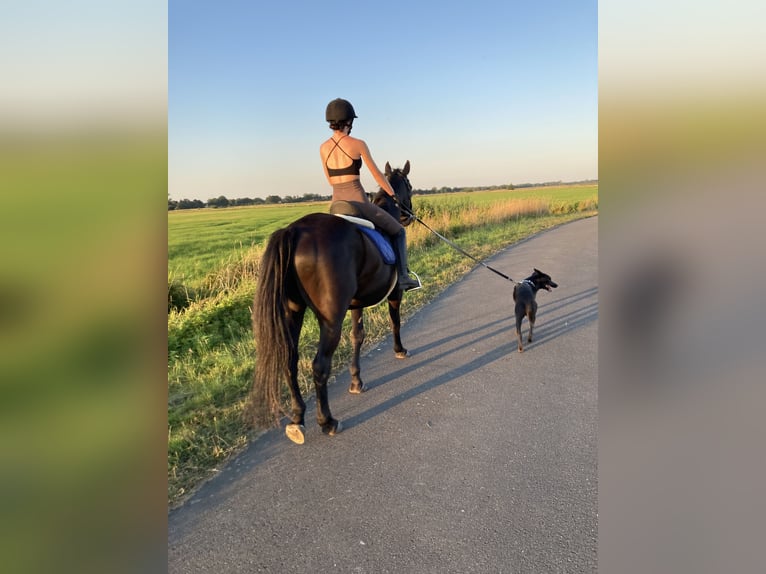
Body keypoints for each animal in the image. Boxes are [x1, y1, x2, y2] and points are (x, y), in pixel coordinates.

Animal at [249, 161, 416, 444]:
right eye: (410, 186)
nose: (409, 216)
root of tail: (294, 231)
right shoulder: (395, 294)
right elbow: (395, 322)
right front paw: (399, 350)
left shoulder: (356, 303)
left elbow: (357, 336)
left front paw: (357, 381)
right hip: (330, 320)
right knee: (319, 366)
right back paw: (326, 421)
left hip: (293, 311)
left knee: (290, 360)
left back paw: (297, 418)